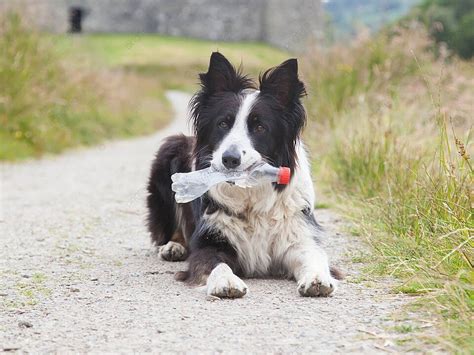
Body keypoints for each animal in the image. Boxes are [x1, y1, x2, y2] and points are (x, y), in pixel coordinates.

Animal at [147, 52, 340, 298]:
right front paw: (226, 281)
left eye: (260, 128)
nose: (230, 159)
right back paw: (173, 246)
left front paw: (318, 278)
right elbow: (216, 263)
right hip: (168, 153)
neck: (249, 196)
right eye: (222, 124)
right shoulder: (209, 241)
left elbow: (314, 256)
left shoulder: (297, 237)